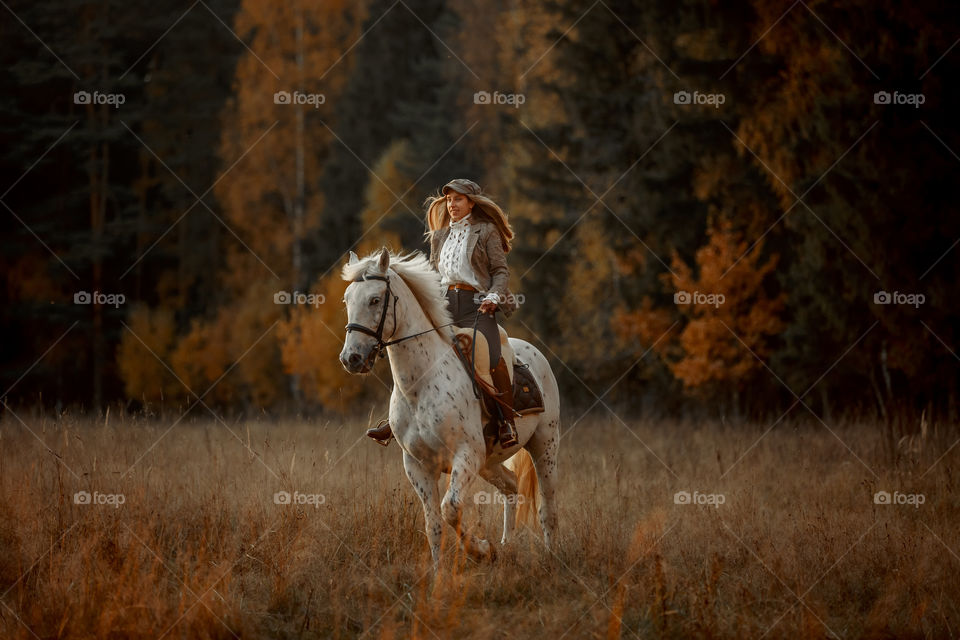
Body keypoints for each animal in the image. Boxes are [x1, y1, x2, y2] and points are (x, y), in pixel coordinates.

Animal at [342, 248, 560, 568]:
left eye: (375, 299)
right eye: (347, 299)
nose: (351, 358)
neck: (420, 385)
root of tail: (534, 353)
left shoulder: (466, 455)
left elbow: (451, 509)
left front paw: (481, 549)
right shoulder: (418, 465)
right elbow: (433, 522)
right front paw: (438, 570)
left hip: (545, 446)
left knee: (548, 507)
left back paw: (552, 557)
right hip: (490, 462)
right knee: (510, 487)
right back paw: (506, 545)